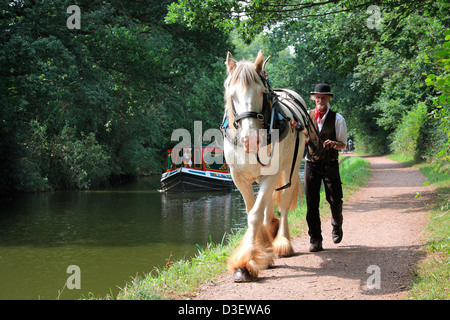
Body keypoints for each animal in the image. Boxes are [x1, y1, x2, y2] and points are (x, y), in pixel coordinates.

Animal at [223, 50, 308, 282]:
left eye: (261, 92)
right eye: (232, 94)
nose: (250, 139)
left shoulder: (271, 174)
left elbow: (254, 215)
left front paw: (245, 263)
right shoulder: (239, 178)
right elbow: (252, 210)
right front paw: (258, 253)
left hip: (290, 168)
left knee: (284, 202)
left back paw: (282, 242)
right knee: (268, 206)